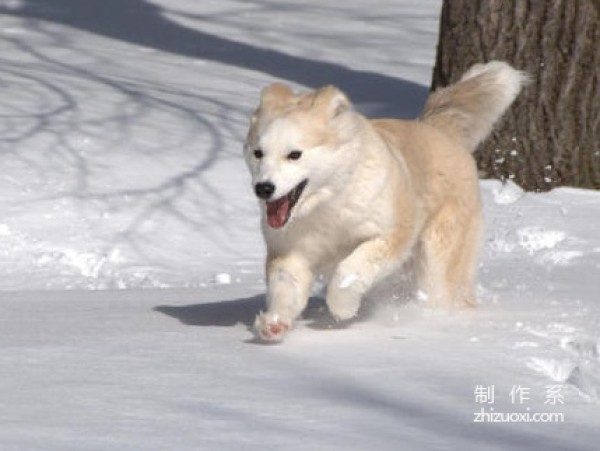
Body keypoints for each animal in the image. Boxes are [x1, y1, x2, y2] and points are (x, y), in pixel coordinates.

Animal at [243, 61, 524, 342]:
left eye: (294, 155)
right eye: (258, 153)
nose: (263, 188)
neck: (329, 204)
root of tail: (438, 129)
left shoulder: (391, 235)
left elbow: (351, 269)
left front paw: (342, 307)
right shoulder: (289, 252)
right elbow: (285, 288)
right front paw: (274, 324)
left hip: (437, 259)